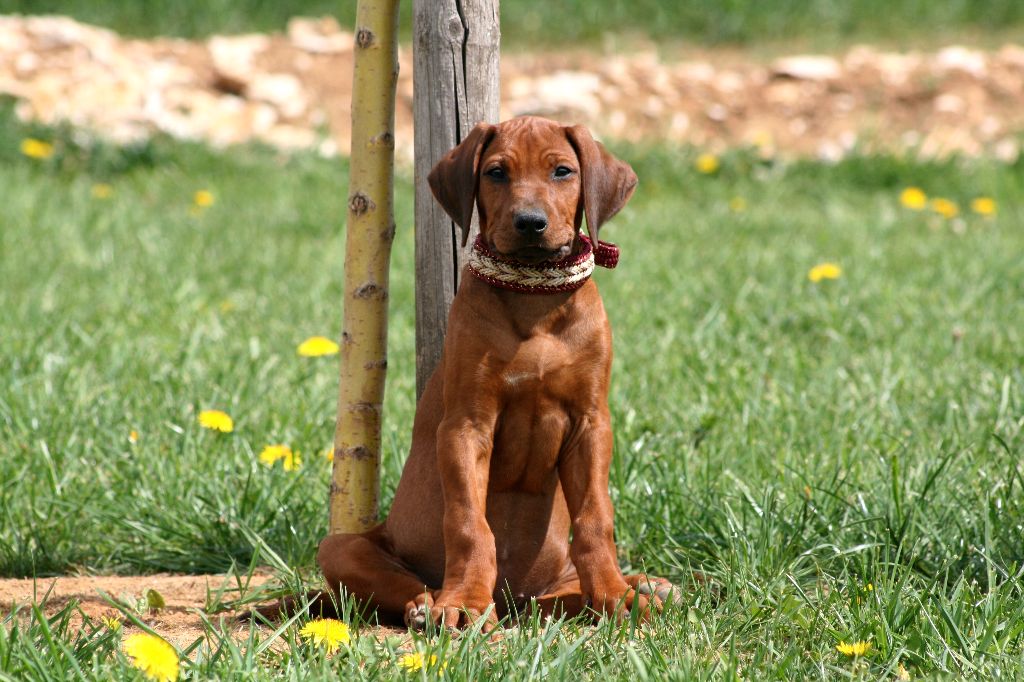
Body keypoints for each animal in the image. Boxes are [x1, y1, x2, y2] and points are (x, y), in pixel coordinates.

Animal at [315, 115, 675, 626]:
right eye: (496, 173)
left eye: (562, 171)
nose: (530, 223)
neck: (534, 297)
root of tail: (510, 603)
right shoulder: (467, 425)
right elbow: (469, 522)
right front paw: (463, 601)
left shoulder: (591, 424)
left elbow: (595, 517)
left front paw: (614, 594)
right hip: (340, 548)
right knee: (395, 584)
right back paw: (429, 605)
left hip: (546, 583)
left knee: (552, 600)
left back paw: (637, 587)